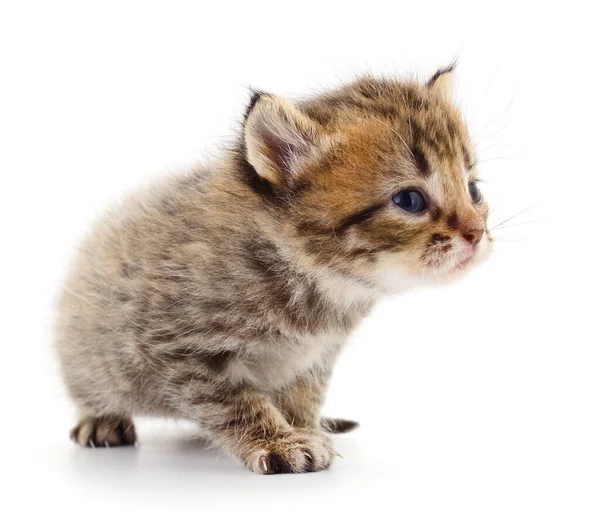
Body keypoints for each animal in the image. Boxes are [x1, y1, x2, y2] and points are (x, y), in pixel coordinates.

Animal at [56, 66, 490, 474]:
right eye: (409, 200)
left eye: (474, 191)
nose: (476, 233)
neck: (316, 281)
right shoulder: (177, 346)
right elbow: (234, 401)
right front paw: (277, 442)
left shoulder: (315, 357)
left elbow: (303, 396)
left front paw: (306, 430)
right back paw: (101, 420)